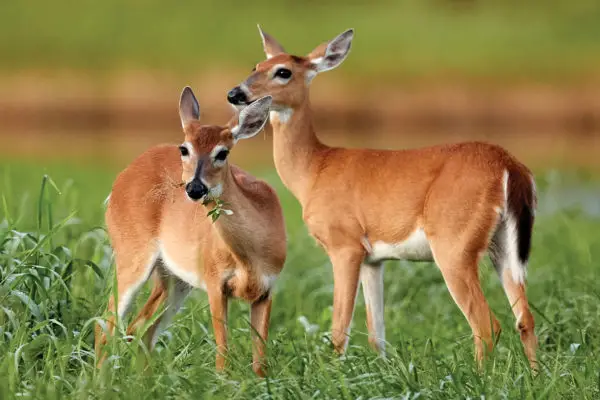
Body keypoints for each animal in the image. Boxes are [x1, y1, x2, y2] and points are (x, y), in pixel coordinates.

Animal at [95, 86, 288, 376]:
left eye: (223, 152)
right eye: (184, 149)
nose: (195, 188)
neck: (250, 257)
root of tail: (122, 177)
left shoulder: (267, 289)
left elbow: (260, 359)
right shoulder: (214, 280)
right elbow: (222, 351)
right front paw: (222, 380)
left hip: (173, 279)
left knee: (139, 328)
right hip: (131, 253)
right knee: (106, 324)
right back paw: (95, 380)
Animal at [225, 25, 540, 368]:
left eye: (283, 71)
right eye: (255, 66)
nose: (235, 94)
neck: (314, 170)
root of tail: (509, 165)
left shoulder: (344, 244)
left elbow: (339, 329)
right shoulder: (373, 259)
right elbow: (377, 333)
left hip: (453, 243)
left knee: (486, 323)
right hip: (503, 245)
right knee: (524, 318)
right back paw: (534, 374)